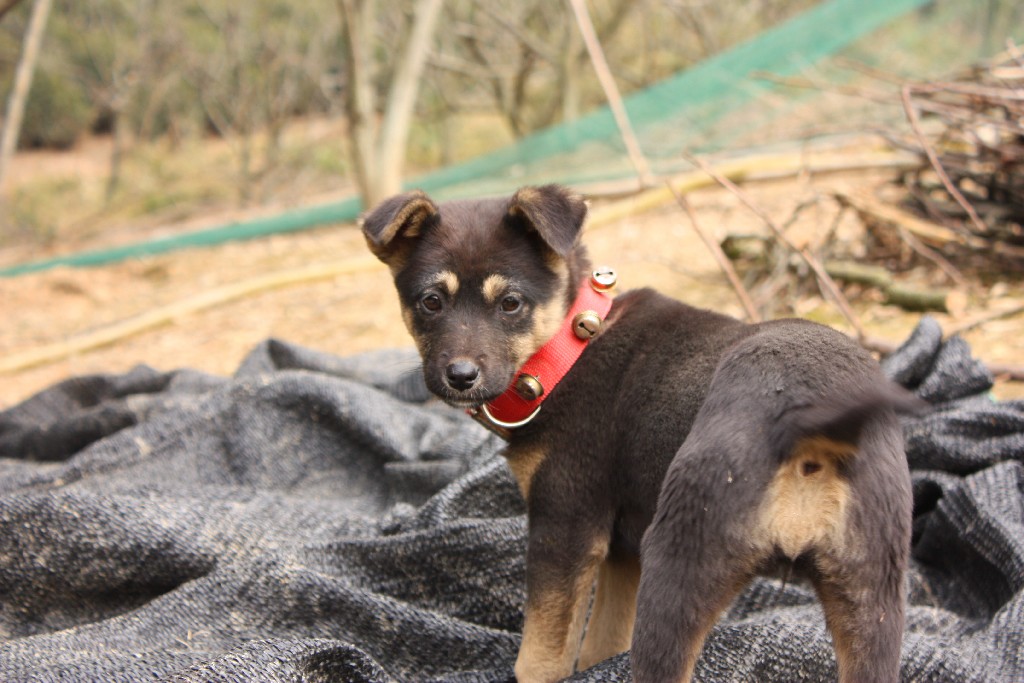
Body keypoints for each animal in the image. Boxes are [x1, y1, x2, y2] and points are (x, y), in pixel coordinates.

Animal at [362, 184, 921, 679]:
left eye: (511, 304)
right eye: (431, 302)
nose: (460, 376)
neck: (567, 347)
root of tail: (810, 415)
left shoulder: (566, 526)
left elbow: (540, 658)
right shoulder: (621, 548)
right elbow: (602, 644)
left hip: (679, 566)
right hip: (873, 597)